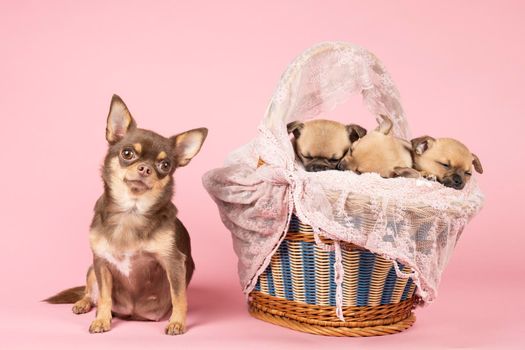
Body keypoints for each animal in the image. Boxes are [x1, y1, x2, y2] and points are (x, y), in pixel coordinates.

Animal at [45, 94, 208, 334]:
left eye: (165, 165)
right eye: (127, 153)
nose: (145, 168)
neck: (131, 211)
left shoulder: (174, 262)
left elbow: (179, 297)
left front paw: (177, 322)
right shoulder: (101, 262)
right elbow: (104, 297)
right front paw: (102, 320)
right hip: (91, 269)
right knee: (90, 293)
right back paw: (83, 303)